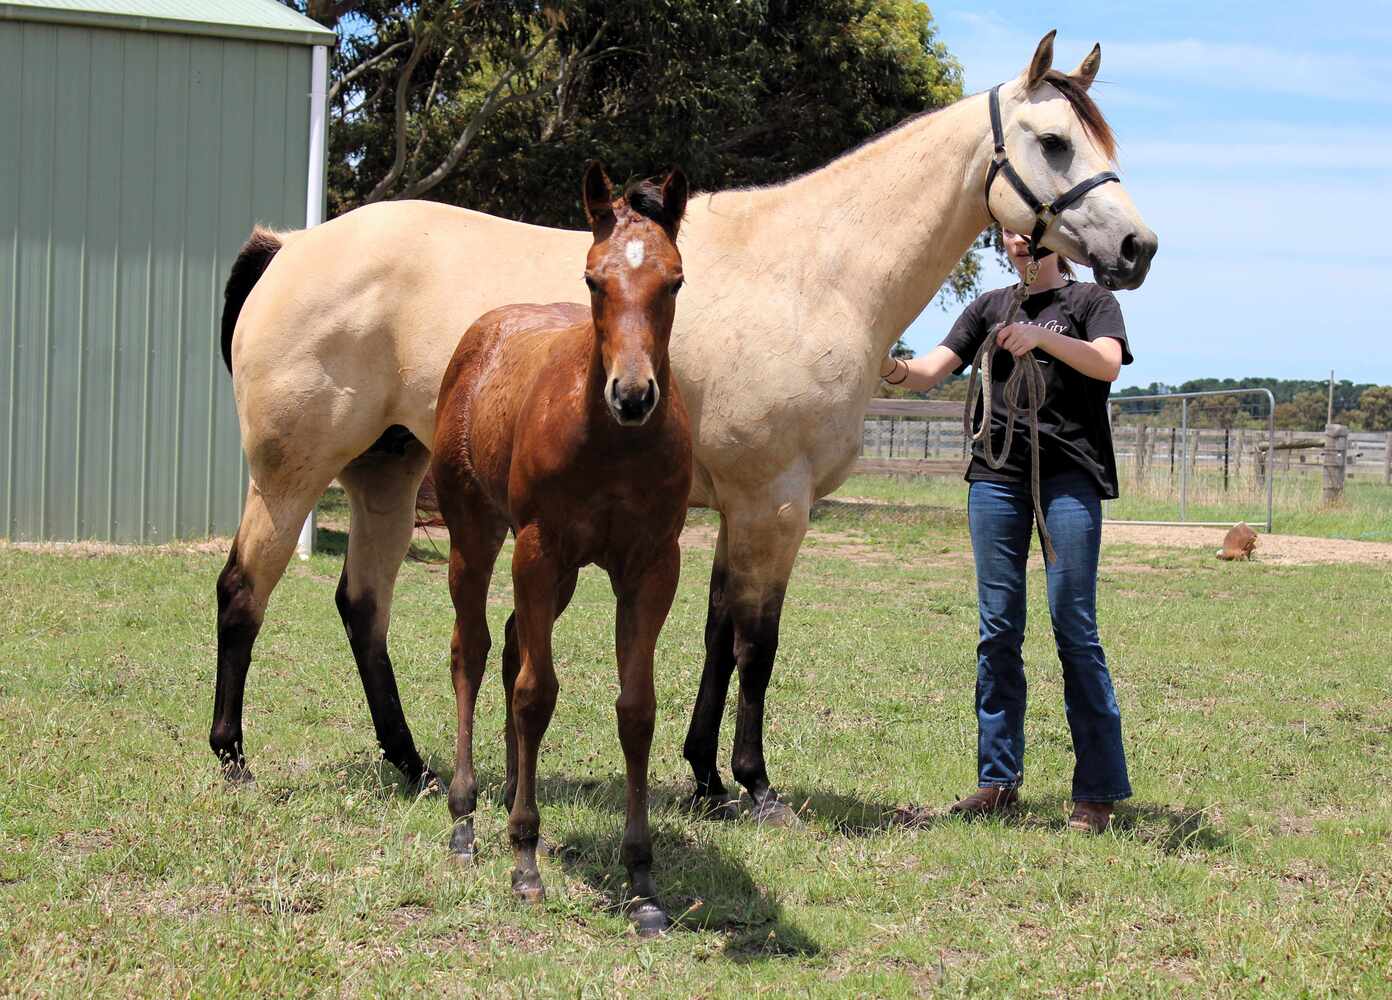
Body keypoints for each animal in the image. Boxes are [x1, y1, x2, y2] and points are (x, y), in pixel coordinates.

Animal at [211, 32, 1156, 820]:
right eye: (1055, 141)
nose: (1138, 248)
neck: (814, 272)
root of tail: (292, 245)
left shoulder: (738, 507)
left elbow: (717, 638)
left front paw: (705, 777)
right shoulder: (776, 503)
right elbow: (757, 644)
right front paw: (755, 784)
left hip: (386, 469)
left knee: (362, 608)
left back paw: (411, 765)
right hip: (292, 474)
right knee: (243, 591)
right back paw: (233, 759)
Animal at [429, 163, 690, 934]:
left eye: (674, 281)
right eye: (593, 280)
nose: (632, 394)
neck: (612, 443)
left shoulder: (651, 565)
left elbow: (636, 708)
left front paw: (642, 881)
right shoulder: (540, 550)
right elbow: (536, 692)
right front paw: (524, 861)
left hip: (562, 573)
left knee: (514, 642)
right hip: (479, 537)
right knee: (474, 652)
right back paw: (466, 821)